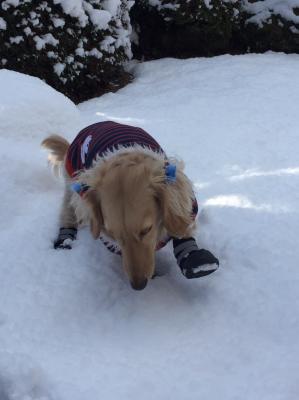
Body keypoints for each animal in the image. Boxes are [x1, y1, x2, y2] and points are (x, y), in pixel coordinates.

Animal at [42, 120, 219, 290]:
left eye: (146, 230)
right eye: (113, 234)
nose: (138, 286)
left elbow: (181, 228)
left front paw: (194, 258)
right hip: (71, 182)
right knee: (68, 211)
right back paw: (65, 240)